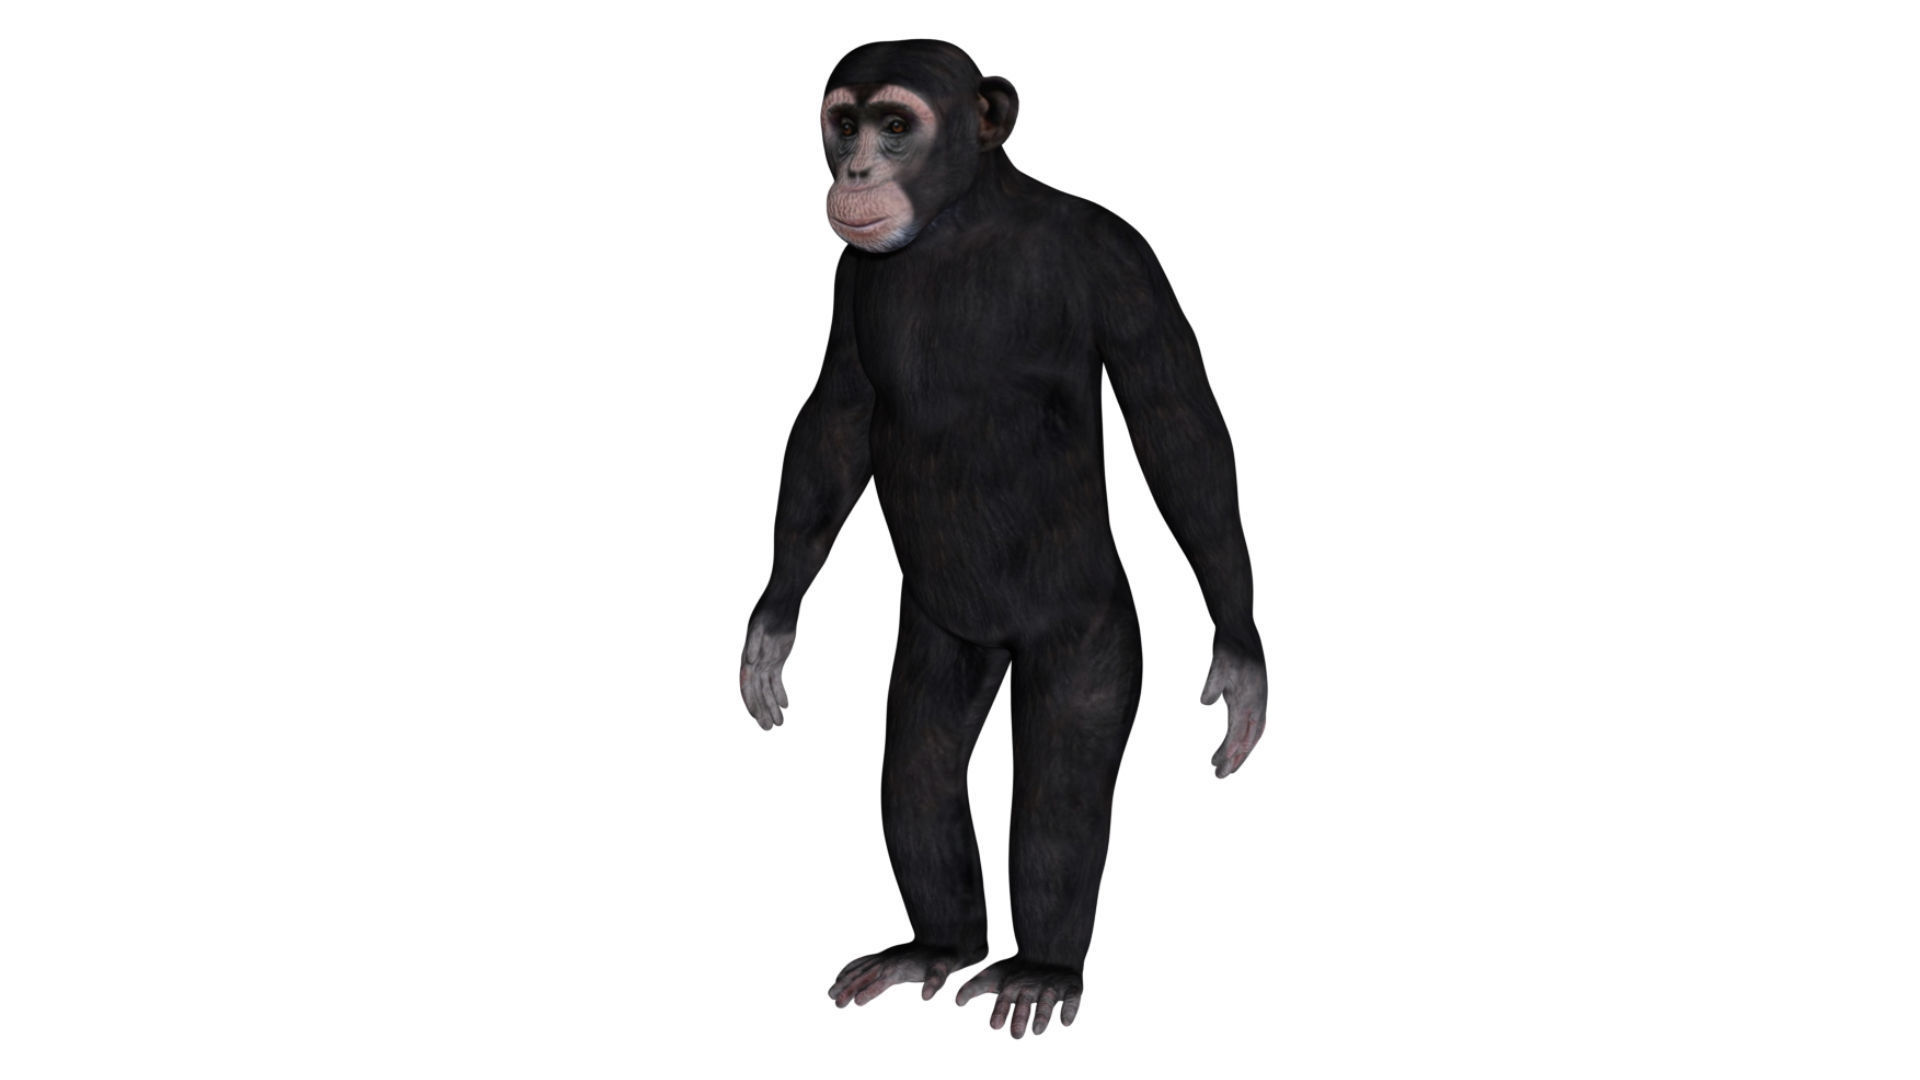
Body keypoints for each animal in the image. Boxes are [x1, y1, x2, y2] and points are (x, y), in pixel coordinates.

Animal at [738, 40, 1267, 1038]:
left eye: (895, 125)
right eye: (844, 122)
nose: (856, 169)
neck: (961, 225)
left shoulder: (1123, 259)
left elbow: (1176, 427)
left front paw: (1241, 658)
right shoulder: (849, 278)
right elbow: (837, 419)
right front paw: (769, 630)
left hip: (1088, 627)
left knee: (1064, 771)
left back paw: (1043, 968)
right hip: (945, 635)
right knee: (921, 758)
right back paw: (937, 946)